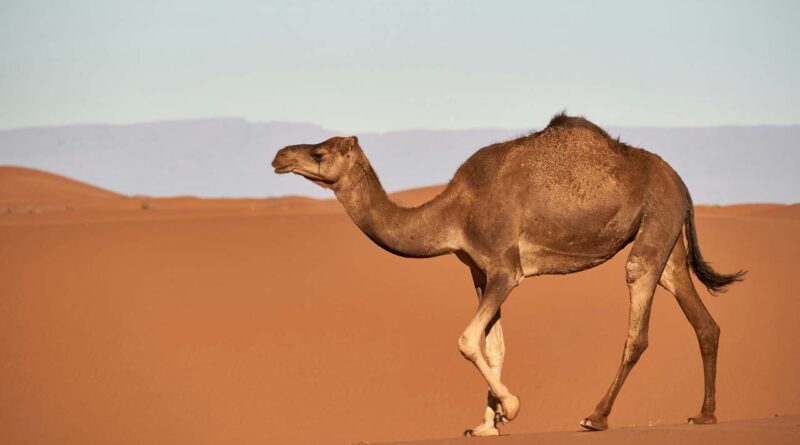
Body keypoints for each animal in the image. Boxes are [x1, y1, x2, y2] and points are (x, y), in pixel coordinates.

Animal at [271, 113, 745, 436]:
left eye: (320, 153)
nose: (279, 155)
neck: (454, 212)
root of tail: (682, 185)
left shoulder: (505, 268)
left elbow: (466, 340)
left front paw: (510, 408)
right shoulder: (480, 272)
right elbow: (492, 345)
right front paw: (486, 424)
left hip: (656, 221)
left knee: (638, 319)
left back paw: (596, 416)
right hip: (667, 236)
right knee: (701, 317)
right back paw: (705, 414)